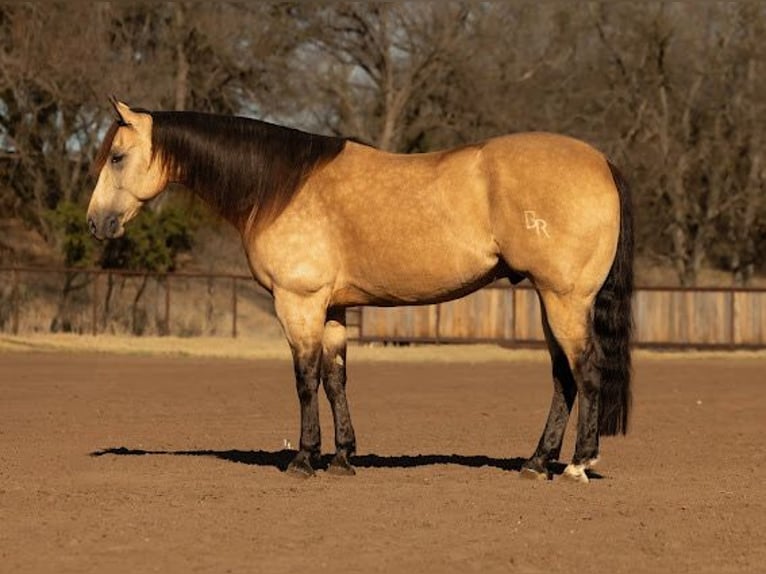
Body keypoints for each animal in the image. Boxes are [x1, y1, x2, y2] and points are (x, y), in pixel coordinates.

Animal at [87, 98, 633, 484]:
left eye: (117, 156)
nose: (96, 224)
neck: (281, 186)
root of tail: (603, 161)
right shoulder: (333, 309)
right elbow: (336, 379)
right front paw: (343, 457)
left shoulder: (298, 302)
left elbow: (305, 378)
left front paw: (305, 459)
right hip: (550, 300)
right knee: (562, 377)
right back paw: (536, 462)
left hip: (565, 299)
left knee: (585, 370)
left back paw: (578, 464)